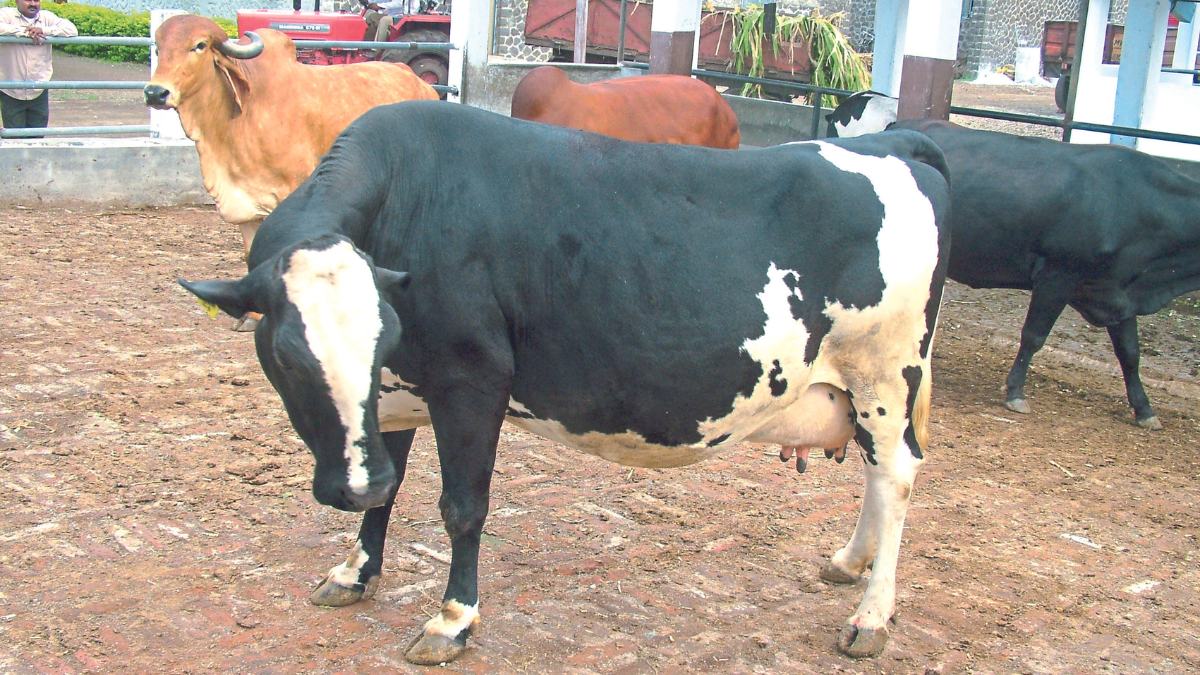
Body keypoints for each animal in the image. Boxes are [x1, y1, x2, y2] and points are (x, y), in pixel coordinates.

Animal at [180, 101, 952, 664]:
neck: (409, 196)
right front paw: (354, 572)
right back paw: (850, 561)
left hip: (884, 370)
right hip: (866, 385)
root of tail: (898, 143)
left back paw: (870, 616)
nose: (352, 485)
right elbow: (391, 491)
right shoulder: (401, 390)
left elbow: (463, 507)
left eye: (374, 343)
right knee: (878, 475)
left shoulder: (471, 377)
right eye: (289, 357)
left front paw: (452, 619)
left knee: (897, 477)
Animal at [827, 94, 1200, 429]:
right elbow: (1034, 335)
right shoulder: (1057, 275)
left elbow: (1130, 353)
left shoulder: (1115, 292)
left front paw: (1144, 409)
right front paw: (1015, 391)